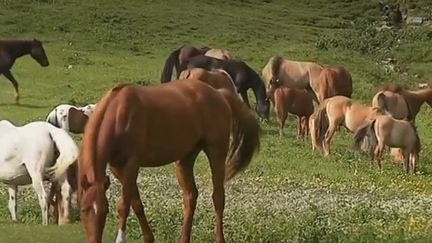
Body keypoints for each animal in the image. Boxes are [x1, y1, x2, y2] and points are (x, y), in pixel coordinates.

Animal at [78, 79, 260, 243]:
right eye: (83, 210)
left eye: (105, 211)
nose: (94, 240)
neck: (118, 113)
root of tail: (219, 93)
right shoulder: (118, 168)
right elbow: (137, 204)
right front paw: (149, 238)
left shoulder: (131, 165)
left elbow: (124, 206)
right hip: (185, 159)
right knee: (190, 197)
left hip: (216, 152)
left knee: (218, 197)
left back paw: (219, 238)